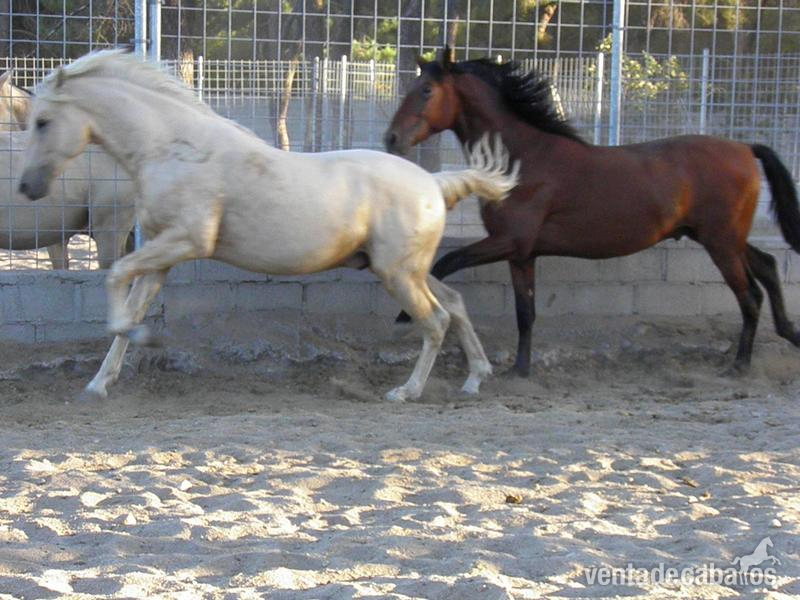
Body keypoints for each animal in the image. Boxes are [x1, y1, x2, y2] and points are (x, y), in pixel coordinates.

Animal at [17, 50, 519, 402]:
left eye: (42, 121)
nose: (27, 186)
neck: (175, 148)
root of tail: (435, 182)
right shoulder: (162, 253)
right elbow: (133, 305)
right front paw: (99, 384)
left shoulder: (187, 240)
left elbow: (116, 278)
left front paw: (138, 340)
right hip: (403, 269)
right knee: (455, 304)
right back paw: (475, 379)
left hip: (397, 274)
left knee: (435, 320)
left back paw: (405, 392)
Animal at [384, 47, 800, 376]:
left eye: (426, 91)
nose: (392, 139)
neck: (522, 160)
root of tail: (744, 148)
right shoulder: (522, 254)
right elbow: (525, 312)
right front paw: (521, 370)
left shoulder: (507, 241)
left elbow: (446, 262)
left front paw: (404, 315)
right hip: (723, 237)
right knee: (766, 267)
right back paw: (788, 333)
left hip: (721, 242)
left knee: (750, 295)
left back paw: (740, 365)